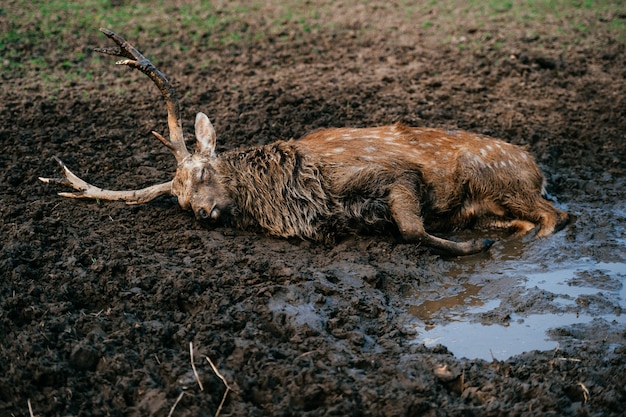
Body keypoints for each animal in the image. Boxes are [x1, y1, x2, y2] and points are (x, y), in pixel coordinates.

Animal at [36, 29, 568, 255]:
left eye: (204, 170)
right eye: (180, 202)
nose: (204, 213)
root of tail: (538, 167)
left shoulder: (393, 172)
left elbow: (411, 230)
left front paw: (475, 247)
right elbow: (408, 230)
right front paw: (475, 241)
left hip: (497, 176)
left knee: (557, 216)